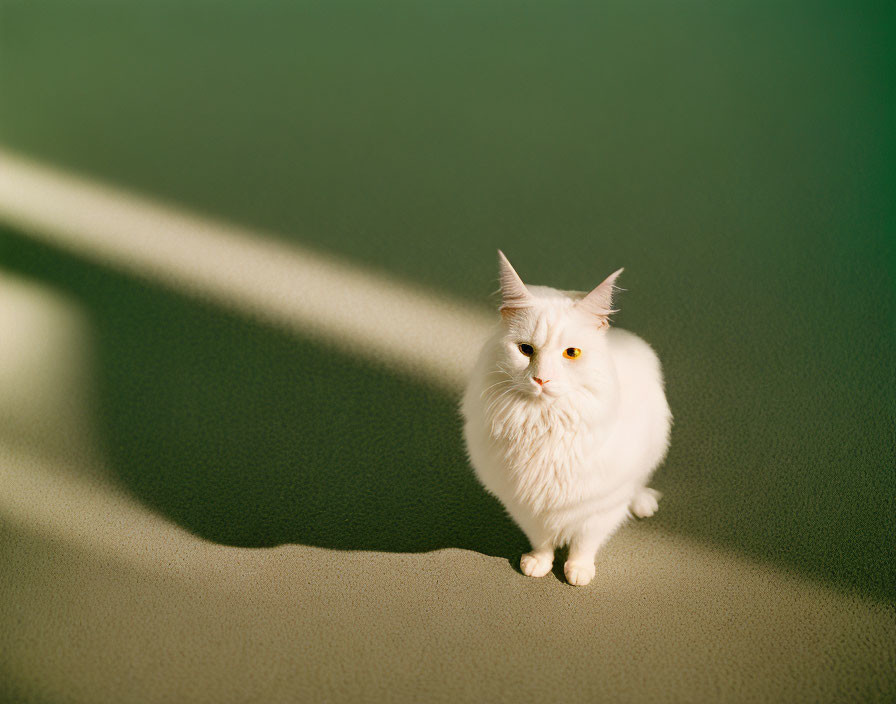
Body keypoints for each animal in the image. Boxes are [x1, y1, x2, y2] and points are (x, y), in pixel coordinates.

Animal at [462, 250, 672, 584]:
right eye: (525, 350)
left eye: (571, 353)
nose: (541, 379)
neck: (544, 424)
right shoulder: (525, 506)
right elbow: (542, 539)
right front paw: (538, 563)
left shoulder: (600, 508)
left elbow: (584, 543)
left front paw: (579, 571)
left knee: (638, 483)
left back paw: (642, 503)